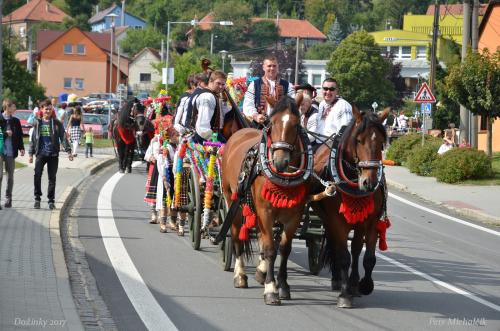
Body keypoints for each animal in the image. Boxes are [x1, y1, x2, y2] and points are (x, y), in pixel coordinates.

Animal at [221, 94, 310, 304]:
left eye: (296, 124)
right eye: (272, 123)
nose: (280, 161)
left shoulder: (294, 215)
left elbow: (284, 248)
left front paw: (283, 285)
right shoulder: (266, 212)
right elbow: (270, 248)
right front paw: (271, 289)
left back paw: (260, 272)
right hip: (233, 202)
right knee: (236, 235)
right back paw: (240, 275)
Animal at [312, 106, 390, 308]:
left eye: (381, 143)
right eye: (359, 140)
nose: (369, 182)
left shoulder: (370, 221)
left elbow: (368, 257)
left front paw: (364, 285)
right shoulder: (337, 221)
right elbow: (344, 257)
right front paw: (345, 294)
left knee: (355, 248)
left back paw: (351, 282)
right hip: (329, 220)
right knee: (336, 246)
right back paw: (339, 280)